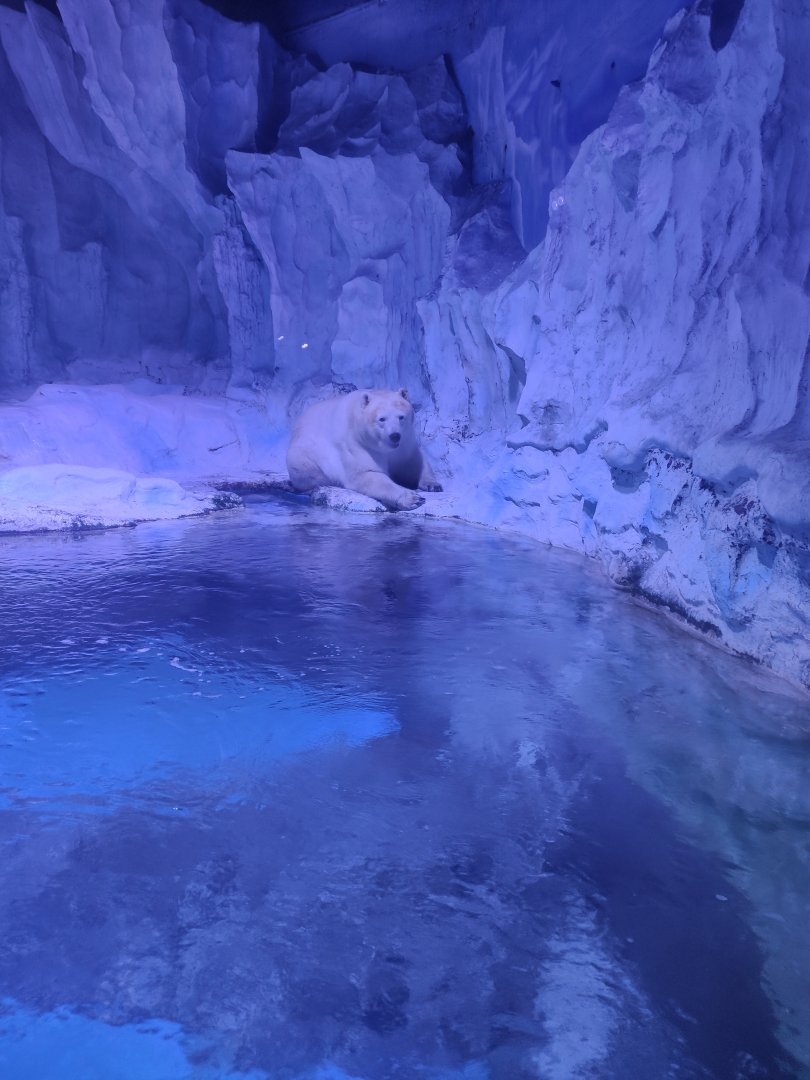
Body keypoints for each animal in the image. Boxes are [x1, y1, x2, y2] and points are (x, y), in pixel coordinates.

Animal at [286, 388, 442, 511]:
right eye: (382, 419)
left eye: (401, 417)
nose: (395, 436)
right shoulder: (357, 445)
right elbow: (367, 475)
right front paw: (413, 499)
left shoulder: (405, 444)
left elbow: (414, 461)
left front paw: (433, 485)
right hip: (303, 456)